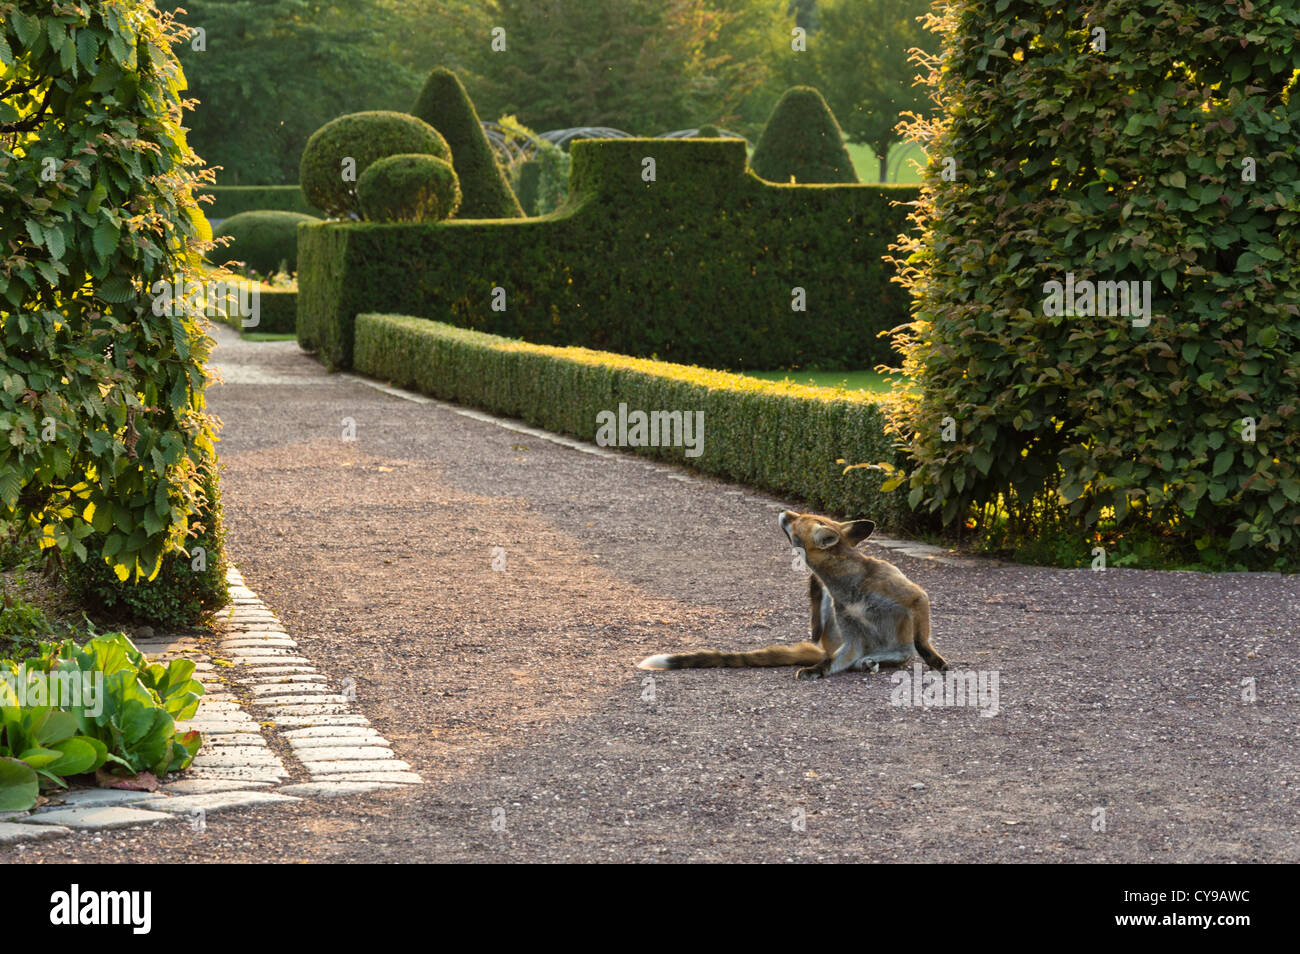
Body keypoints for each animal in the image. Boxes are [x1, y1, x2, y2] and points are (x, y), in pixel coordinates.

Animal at [637, 514, 951, 681]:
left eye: (799, 522)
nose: (785, 511)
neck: (849, 587)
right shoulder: (852, 638)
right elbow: (829, 664)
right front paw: (814, 671)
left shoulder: (914, 596)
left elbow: (922, 641)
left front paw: (935, 662)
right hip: (834, 631)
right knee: (840, 651)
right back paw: (864, 662)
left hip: (896, 648)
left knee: (901, 655)